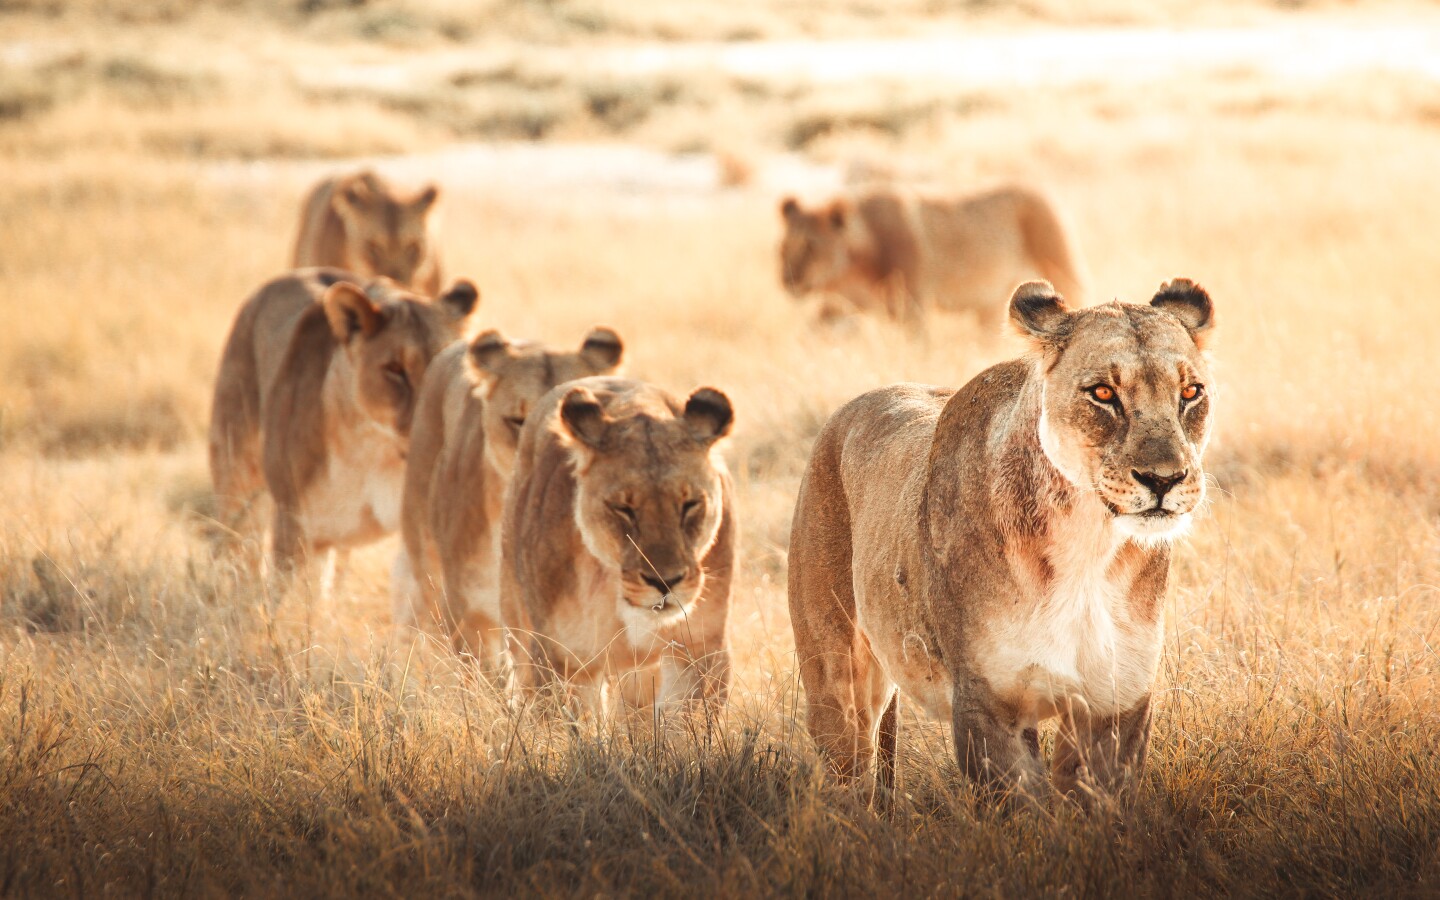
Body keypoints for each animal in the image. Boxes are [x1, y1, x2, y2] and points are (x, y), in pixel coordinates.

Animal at [778, 185, 1088, 325]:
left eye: (810, 246)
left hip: (1062, 270)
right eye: (783, 248)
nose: (787, 280)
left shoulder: (912, 305)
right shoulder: (845, 306)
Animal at [787, 278, 1215, 803]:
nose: (1165, 479)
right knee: (849, 775)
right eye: (1103, 393)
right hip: (837, 685)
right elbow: (1025, 816)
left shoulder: (1115, 705)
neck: (1089, 546)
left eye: (1191, 393)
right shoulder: (988, 705)